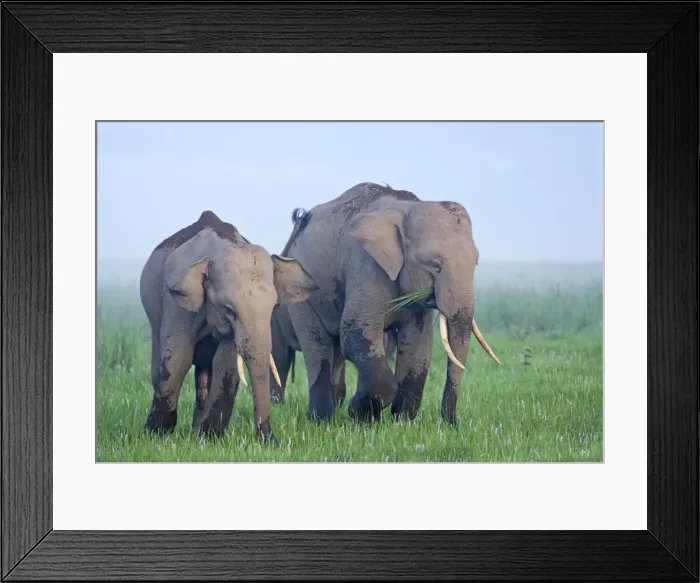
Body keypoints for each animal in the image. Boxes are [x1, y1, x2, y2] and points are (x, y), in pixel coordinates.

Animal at [139, 210, 318, 444]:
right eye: (230, 311)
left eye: (274, 308)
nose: (272, 440)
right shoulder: (177, 304)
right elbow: (179, 358)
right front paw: (156, 436)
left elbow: (225, 362)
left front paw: (209, 439)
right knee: (158, 365)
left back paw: (196, 433)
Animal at [275, 182, 500, 424]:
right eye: (435, 265)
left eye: (476, 263)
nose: (452, 423)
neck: (409, 209)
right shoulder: (366, 264)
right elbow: (355, 331)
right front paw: (359, 414)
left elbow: (417, 343)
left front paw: (401, 422)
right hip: (304, 290)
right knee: (318, 345)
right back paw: (321, 419)